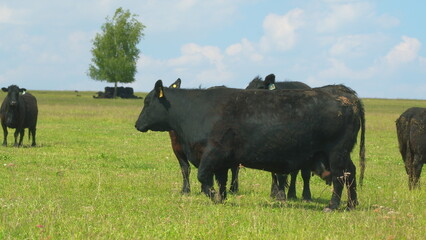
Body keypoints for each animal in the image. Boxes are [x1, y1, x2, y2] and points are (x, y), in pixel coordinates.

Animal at [136, 80, 362, 210]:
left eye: (147, 102)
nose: (137, 124)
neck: (194, 110)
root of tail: (343, 92)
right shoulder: (223, 160)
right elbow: (221, 181)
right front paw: (221, 198)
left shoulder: (213, 153)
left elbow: (203, 176)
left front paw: (212, 195)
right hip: (343, 154)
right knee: (351, 173)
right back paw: (351, 204)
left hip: (336, 153)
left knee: (340, 177)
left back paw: (333, 206)